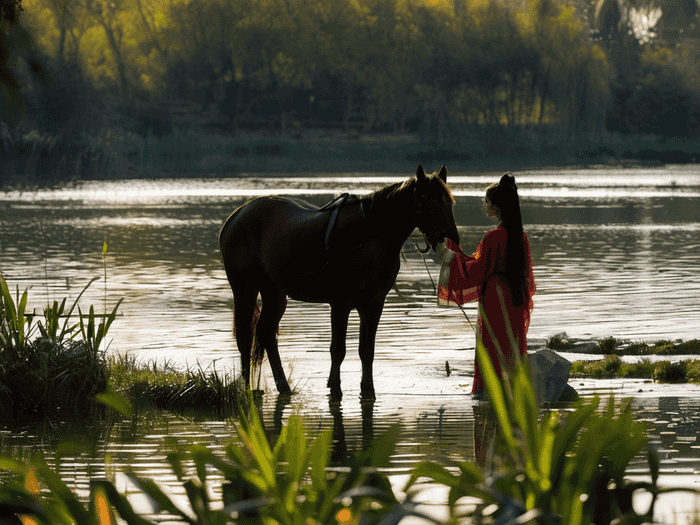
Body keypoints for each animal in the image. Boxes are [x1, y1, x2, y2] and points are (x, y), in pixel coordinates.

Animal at [219, 162, 460, 400]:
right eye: (427, 199)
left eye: (449, 201)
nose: (452, 239)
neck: (369, 236)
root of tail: (235, 217)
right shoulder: (340, 303)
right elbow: (338, 350)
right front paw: (335, 389)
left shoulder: (373, 304)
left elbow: (367, 350)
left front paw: (368, 390)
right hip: (245, 287)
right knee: (245, 337)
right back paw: (247, 389)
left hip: (275, 291)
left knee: (266, 333)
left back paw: (283, 386)